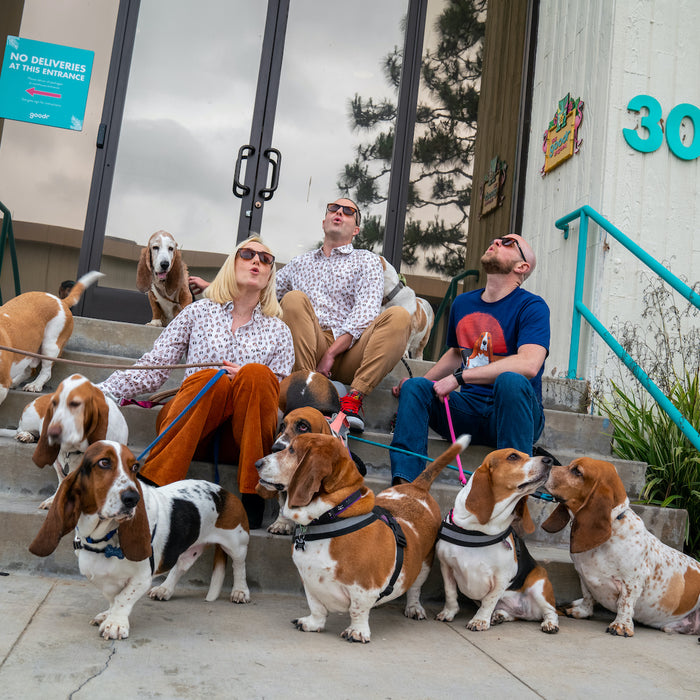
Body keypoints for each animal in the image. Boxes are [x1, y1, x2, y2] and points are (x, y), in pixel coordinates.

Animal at [29, 440, 250, 640]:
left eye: (135, 467)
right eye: (104, 463)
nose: (132, 499)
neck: (104, 539)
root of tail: (223, 491)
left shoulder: (142, 577)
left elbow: (123, 599)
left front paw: (115, 624)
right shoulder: (101, 577)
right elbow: (113, 598)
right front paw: (108, 615)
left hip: (237, 544)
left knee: (239, 565)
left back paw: (240, 591)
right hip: (189, 550)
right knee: (179, 567)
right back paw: (164, 589)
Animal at [256, 433, 470, 643]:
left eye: (292, 450)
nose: (257, 463)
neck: (329, 517)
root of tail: (417, 487)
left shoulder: (363, 587)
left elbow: (357, 610)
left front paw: (357, 632)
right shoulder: (309, 581)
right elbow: (316, 607)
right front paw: (312, 623)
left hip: (423, 565)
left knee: (414, 589)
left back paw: (414, 608)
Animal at [435, 448, 558, 633]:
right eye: (513, 456)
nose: (549, 461)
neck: (477, 530)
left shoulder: (502, 577)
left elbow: (488, 600)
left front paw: (479, 620)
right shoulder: (446, 566)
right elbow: (450, 593)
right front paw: (448, 612)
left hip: (539, 585)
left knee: (551, 611)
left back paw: (550, 624)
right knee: (513, 615)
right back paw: (500, 615)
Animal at [542, 457, 700, 637]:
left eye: (577, 471)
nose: (546, 464)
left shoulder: (632, 582)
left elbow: (625, 604)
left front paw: (621, 626)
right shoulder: (584, 576)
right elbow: (588, 596)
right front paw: (581, 611)